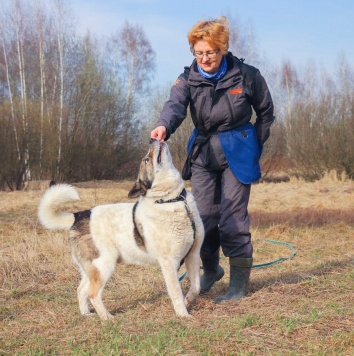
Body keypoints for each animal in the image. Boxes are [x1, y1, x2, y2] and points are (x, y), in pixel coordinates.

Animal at [37, 138, 203, 318]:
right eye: (146, 159)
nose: (152, 139)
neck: (172, 200)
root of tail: (78, 216)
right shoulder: (169, 263)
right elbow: (176, 292)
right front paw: (183, 315)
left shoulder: (192, 255)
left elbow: (196, 287)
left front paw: (189, 300)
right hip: (104, 265)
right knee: (93, 294)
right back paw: (107, 318)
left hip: (92, 269)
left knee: (81, 290)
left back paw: (86, 314)